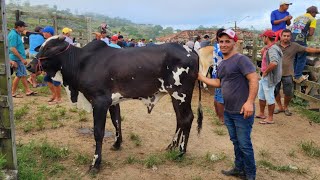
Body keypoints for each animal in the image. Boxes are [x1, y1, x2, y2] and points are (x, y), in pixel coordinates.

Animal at [37, 35, 202, 173]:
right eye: (40, 47)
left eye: (48, 48)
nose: (32, 65)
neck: (82, 63)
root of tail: (191, 51)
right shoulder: (112, 102)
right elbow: (117, 121)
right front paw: (117, 144)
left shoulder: (100, 102)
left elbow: (98, 132)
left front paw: (95, 164)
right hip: (175, 97)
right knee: (180, 119)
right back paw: (171, 146)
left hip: (181, 94)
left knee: (187, 119)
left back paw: (181, 152)